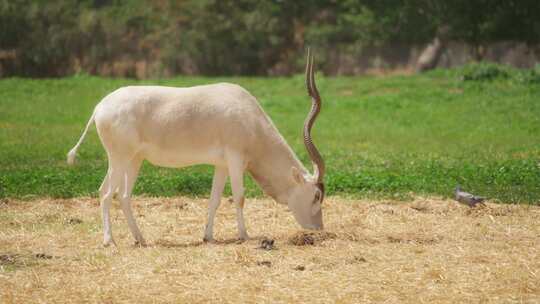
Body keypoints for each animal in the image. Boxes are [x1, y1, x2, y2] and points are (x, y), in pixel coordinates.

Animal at [67, 52, 324, 246]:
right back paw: (109, 241)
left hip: (134, 160)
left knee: (123, 195)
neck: (251, 119)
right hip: (119, 158)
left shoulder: (222, 165)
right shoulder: (235, 159)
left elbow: (215, 199)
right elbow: (239, 197)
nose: (318, 228)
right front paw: (244, 235)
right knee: (106, 193)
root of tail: (100, 108)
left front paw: (208, 236)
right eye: (316, 195)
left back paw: (140, 239)